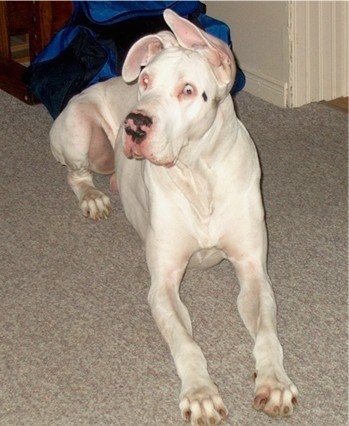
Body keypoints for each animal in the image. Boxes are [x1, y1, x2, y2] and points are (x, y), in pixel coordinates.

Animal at [50, 10, 298, 426]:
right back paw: (94, 198)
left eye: (188, 90)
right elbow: (186, 342)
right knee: (75, 174)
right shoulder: (163, 284)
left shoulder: (253, 271)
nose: (134, 124)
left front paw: (274, 382)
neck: (198, 172)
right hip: (78, 127)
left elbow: (267, 332)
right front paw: (200, 393)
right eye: (146, 81)